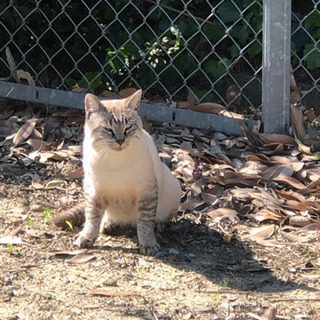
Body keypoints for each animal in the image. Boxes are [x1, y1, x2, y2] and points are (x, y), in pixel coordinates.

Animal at [52, 89, 180, 255]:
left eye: (128, 128)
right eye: (108, 130)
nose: (120, 140)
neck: (115, 161)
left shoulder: (147, 192)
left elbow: (145, 223)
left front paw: (148, 245)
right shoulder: (94, 190)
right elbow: (92, 219)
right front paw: (87, 238)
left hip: (173, 187)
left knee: (156, 218)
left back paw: (158, 226)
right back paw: (108, 225)